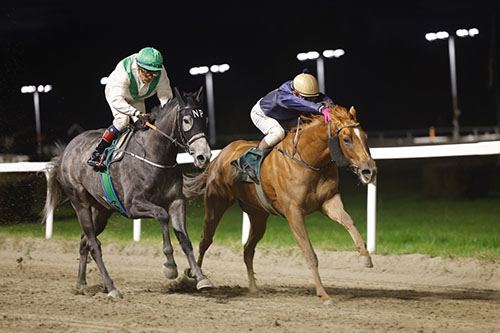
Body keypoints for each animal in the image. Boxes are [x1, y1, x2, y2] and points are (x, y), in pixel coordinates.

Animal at [43, 87, 213, 296]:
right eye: (187, 120)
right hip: (79, 201)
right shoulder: (132, 205)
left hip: (101, 210)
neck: (156, 156)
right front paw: (170, 266)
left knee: (84, 241)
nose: (203, 156)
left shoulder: (176, 202)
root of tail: (65, 153)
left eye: (205, 119)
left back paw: (81, 283)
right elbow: (162, 215)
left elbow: (185, 239)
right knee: (94, 244)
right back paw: (111, 287)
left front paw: (200, 276)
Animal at [183, 104, 376, 304]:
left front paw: (365, 257)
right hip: (216, 203)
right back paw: (196, 278)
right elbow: (309, 253)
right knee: (205, 240)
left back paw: (253, 287)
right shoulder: (294, 212)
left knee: (248, 249)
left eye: (365, 136)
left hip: (258, 215)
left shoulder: (329, 201)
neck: (309, 160)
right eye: (346, 139)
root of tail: (219, 156)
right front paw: (324, 294)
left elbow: (348, 221)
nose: (369, 170)